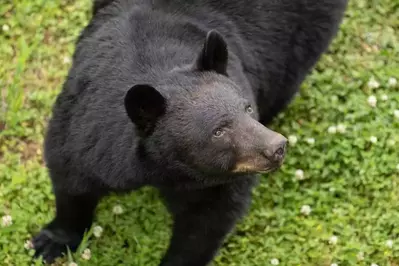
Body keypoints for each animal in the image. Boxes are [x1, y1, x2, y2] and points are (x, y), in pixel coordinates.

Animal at [32, 1, 348, 264]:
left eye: (247, 108)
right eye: (218, 131)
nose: (276, 147)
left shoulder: (218, 180)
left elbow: (206, 220)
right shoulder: (87, 127)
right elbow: (71, 176)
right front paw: (50, 242)